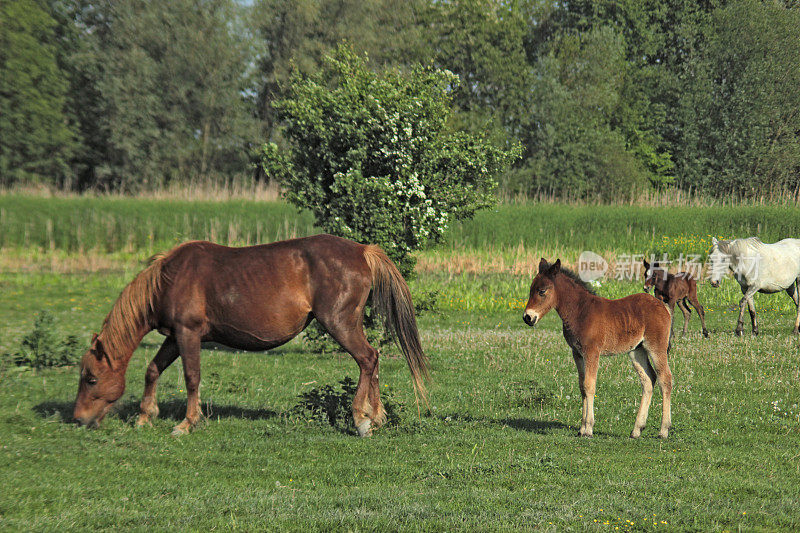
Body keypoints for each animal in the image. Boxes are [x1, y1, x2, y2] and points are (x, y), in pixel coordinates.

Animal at [72, 234, 428, 436]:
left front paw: (187, 423)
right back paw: (376, 416)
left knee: (367, 359)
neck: (170, 278)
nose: (78, 419)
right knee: (374, 361)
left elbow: (191, 377)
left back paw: (361, 420)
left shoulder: (188, 334)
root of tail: (362, 250)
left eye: (91, 378)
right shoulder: (173, 337)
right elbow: (152, 369)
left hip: (340, 323)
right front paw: (146, 416)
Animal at [524, 258, 676, 436]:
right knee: (648, 379)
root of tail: (663, 306)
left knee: (665, 379)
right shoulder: (577, 353)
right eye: (531, 290)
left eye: (542, 291)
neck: (580, 311)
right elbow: (582, 386)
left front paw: (588, 428)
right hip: (636, 351)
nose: (527, 317)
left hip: (656, 347)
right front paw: (581, 429)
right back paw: (637, 430)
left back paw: (663, 430)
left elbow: (589, 385)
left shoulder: (592, 352)